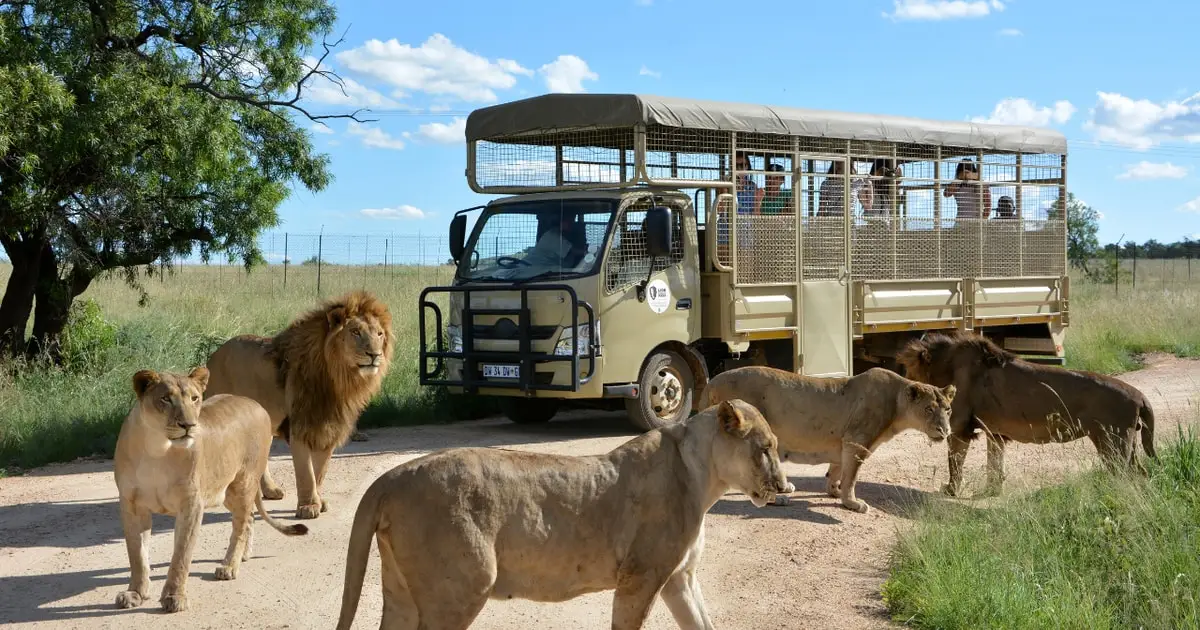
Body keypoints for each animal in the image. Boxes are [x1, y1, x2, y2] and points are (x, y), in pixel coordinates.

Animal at [112, 367, 308, 613]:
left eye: (195, 398)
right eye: (165, 399)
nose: (188, 425)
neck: (157, 448)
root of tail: (256, 404)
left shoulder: (191, 504)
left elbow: (181, 555)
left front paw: (174, 597)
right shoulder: (131, 504)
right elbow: (137, 554)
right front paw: (135, 594)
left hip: (242, 484)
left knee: (240, 526)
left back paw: (229, 566)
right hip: (227, 492)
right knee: (249, 518)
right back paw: (244, 556)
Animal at [203, 290, 393, 519]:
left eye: (379, 334)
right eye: (356, 332)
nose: (375, 355)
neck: (340, 380)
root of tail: (213, 355)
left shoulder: (329, 426)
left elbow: (319, 471)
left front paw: (318, 501)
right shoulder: (300, 425)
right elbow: (306, 472)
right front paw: (308, 507)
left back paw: (270, 490)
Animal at [333, 399, 793, 630]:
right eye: (766, 448)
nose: (784, 486)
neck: (704, 476)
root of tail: (391, 476)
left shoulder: (679, 578)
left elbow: (703, 623)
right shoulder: (640, 577)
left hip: (401, 593)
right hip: (461, 588)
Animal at [699, 366, 955, 514]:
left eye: (948, 409)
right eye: (929, 410)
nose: (945, 431)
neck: (897, 403)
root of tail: (710, 383)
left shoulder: (843, 442)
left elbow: (837, 470)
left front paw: (834, 491)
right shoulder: (856, 441)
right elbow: (852, 477)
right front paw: (852, 503)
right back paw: (779, 499)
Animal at [897, 331, 1157, 497]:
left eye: (909, 371)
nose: (905, 389)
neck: (946, 366)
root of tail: (1139, 396)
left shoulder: (959, 429)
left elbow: (955, 464)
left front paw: (951, 491)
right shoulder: (995, 433)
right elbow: (995, 464)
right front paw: (992, 491)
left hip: (1112, 444)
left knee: (1125, 476)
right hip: (1127, 444)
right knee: (1141, 473)